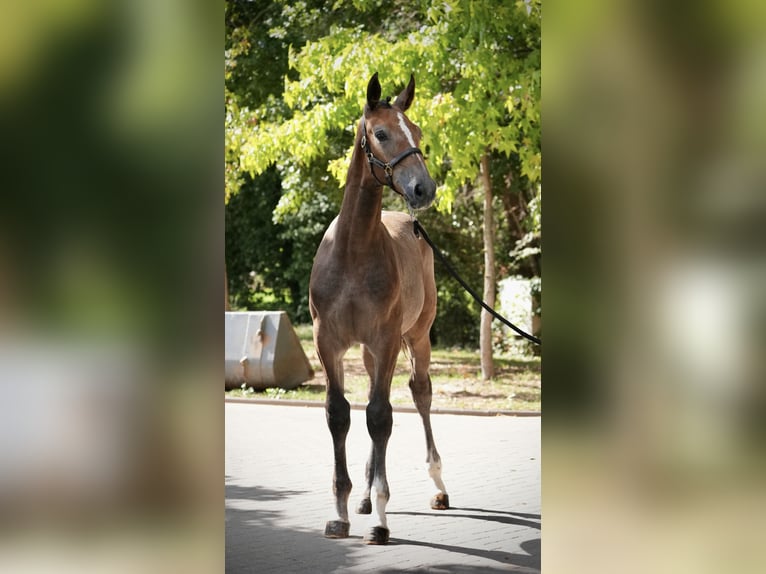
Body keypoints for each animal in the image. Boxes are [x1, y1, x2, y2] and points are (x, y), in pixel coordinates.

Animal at [309, 73, 449, 546]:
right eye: (382, 134)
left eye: (418, 132)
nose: (424, 189)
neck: (353, 251)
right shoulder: (328, 342)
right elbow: (340, 415)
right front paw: (341, 513)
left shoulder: (387, 339)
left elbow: (380, 417)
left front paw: (383, 523)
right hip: (370, 353)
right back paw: (367, 497)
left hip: (417, 337)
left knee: (419, 394)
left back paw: (437, 484)